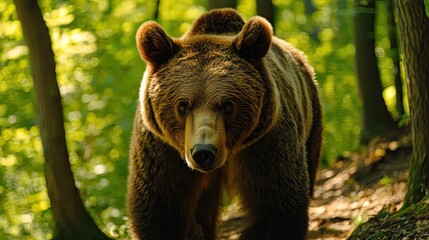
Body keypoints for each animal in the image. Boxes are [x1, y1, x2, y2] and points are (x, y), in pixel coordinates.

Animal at [127, 8, 320, 239]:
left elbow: (276, 206)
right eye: (182, 105)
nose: (203, 152)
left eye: (227, 105)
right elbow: (161, 208)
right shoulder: (161, 149)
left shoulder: (266, 145)